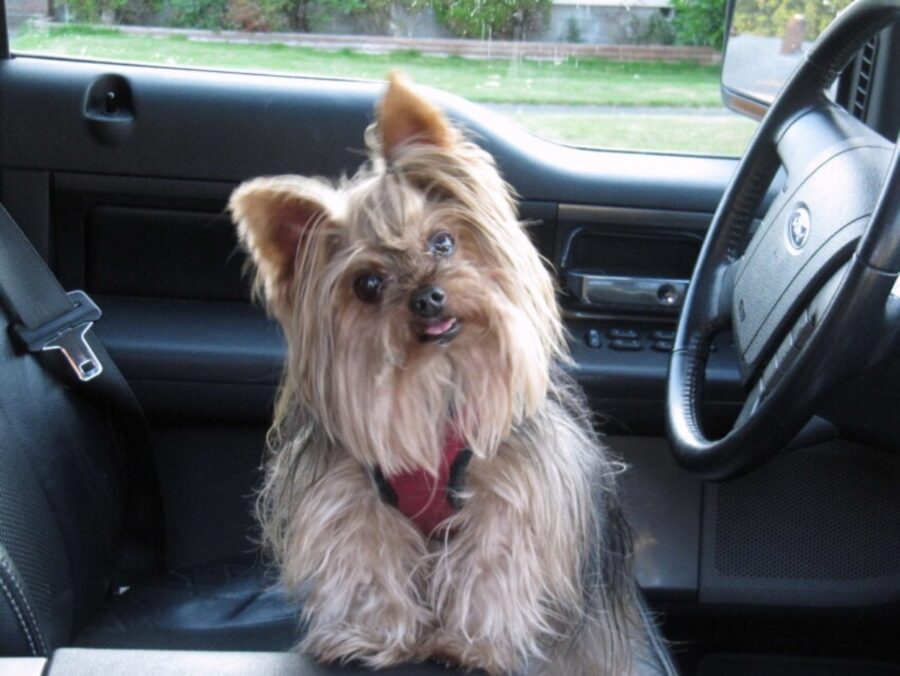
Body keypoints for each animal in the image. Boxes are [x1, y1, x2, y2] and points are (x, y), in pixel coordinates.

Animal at [229, 75, 644, 676]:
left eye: (442, 242)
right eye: (367, 284)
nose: (428, 297)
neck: (433, 379)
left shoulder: (511, 489)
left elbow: (495, 561)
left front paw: (472, 645)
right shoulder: (353, 494)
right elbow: (366, 557)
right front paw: (369, 636)